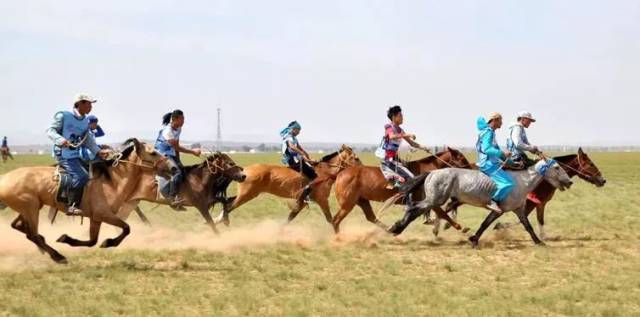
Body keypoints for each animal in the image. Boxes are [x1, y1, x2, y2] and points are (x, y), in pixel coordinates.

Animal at [0, 138, 171, 262]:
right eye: (153, 153)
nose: (172, 167)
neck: (112, 181)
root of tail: (4, 178)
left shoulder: (96, 218)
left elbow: (92, 241)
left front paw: (67, 239)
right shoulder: (104, 215)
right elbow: (126, 228)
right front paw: (109, 242)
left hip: (30, 208)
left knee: (20, 227)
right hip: (30, 209)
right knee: (32, 234)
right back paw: (58, 256)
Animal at [116, 152, 246, 233]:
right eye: (230, 163)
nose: (243, 176)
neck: (199, 180)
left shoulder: (209, 200)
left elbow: (224, 201)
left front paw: (226, 220)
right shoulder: (200, 205)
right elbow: (211, 223)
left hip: (132, 201)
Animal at [215, 144, 362, 226]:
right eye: (356, 158)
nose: (362, 168)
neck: (323, 172)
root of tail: (244, 170)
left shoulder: (302, 202)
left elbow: (290, 217)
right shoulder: (321, 200)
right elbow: (331, 219)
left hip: (247, 194)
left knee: (227, 201)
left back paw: (218, 220)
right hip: (247, 195)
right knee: (229, 206)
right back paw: (223, 221)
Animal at [332, 147, 472, 233]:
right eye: (461, 158)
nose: (472, 169)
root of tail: (341, 173)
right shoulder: (430, 201)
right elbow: (443, 213)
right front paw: (460, 227)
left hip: (362, 201)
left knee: (371, 217)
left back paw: (390, 229)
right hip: (348, 204)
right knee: (336, 220)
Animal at [388, 159, 572, 246]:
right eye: (557, 167)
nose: (569, 182)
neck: (522, 181)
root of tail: (432, 173)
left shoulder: (517, 210)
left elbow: (527, 226)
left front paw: (539, 242)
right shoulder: (501, 209)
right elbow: (487, 223)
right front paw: (473, 239)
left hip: (435, 200)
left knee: (420, 211)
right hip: (434, 199)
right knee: (414, 209)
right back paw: (396, 228)